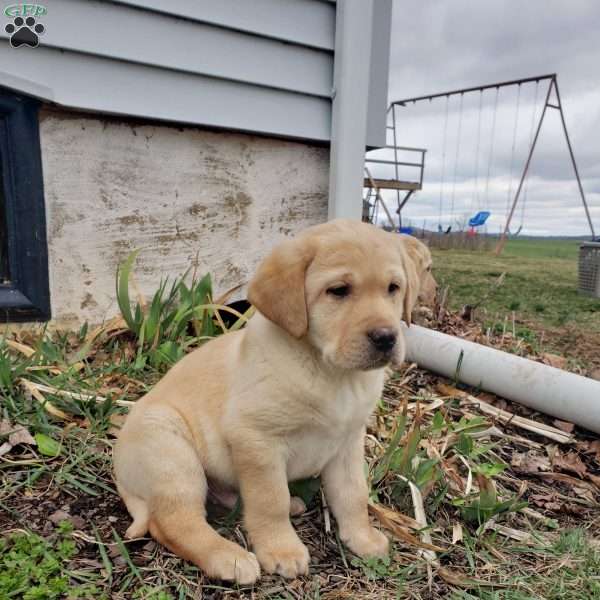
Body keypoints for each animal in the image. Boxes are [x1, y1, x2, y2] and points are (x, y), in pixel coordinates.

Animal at [115, 218, 420, 584]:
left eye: (393, 288)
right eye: (339, 290)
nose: (387, 338)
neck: (331, 374)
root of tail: (120, 474)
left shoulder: (348, 442)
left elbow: (353, 494)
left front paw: (362, 538)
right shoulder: (256, 439)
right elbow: (269, 500)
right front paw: (281, 550)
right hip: (172, 455)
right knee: (174, 521)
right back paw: (229, 558)